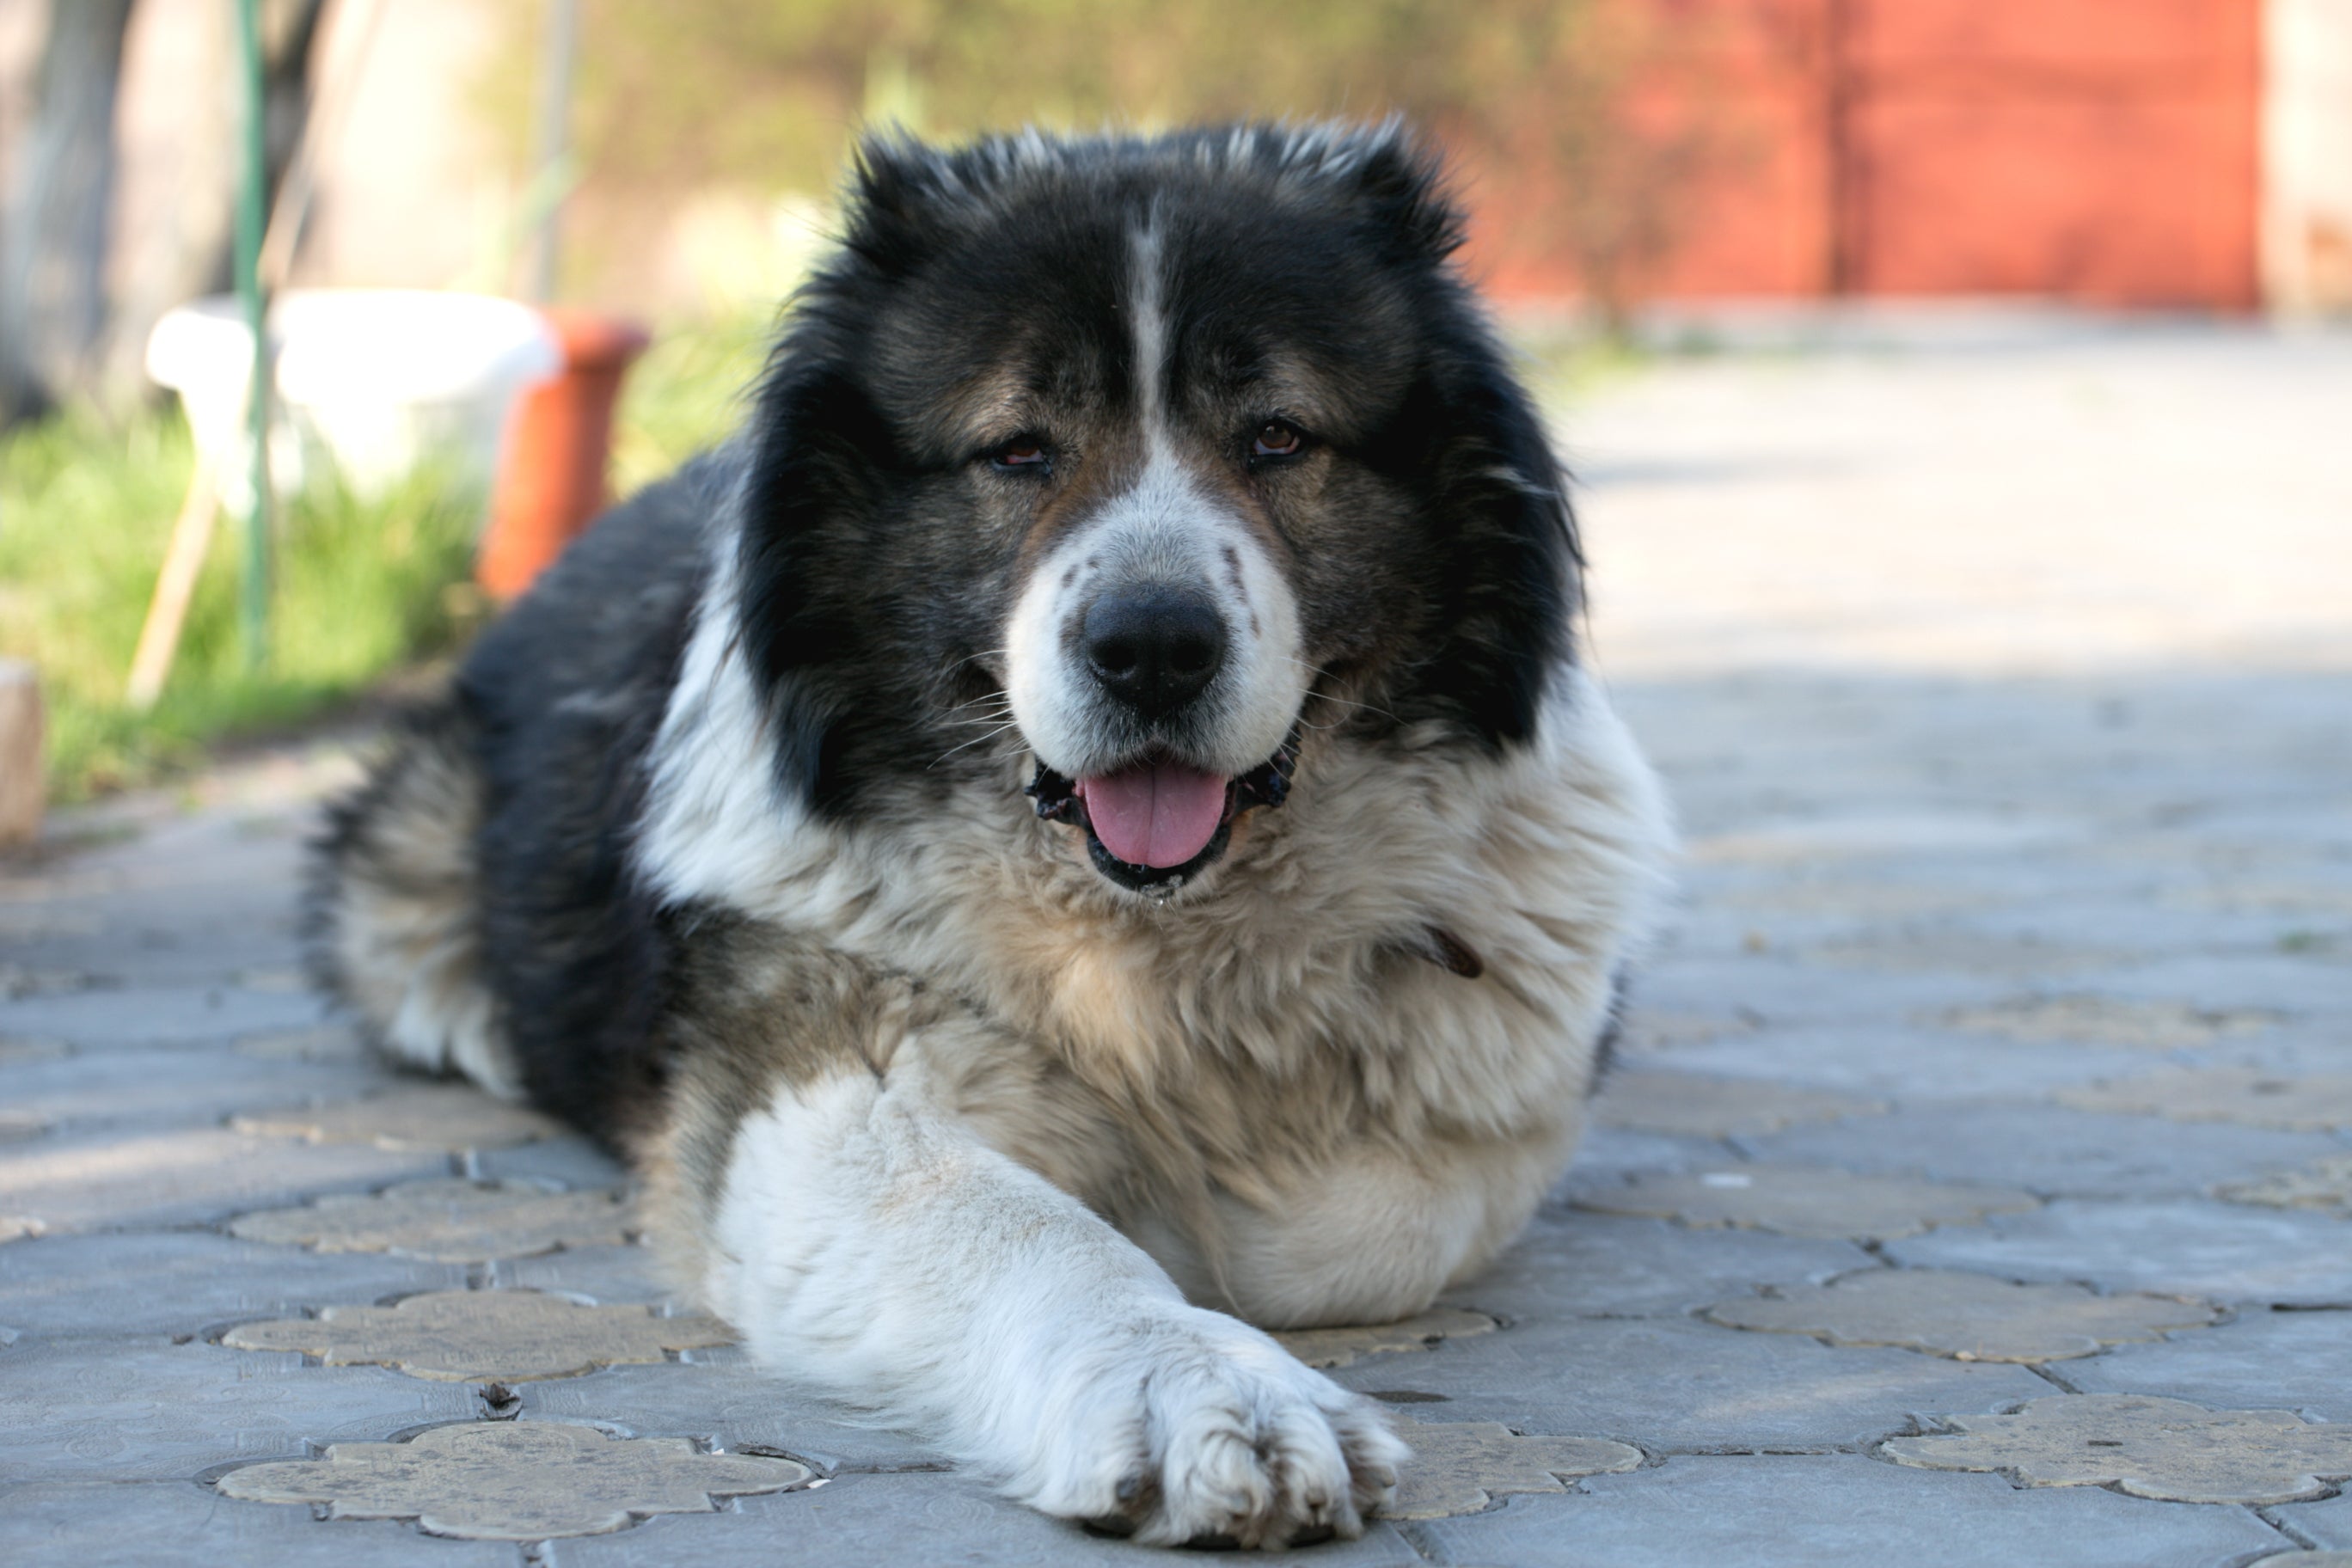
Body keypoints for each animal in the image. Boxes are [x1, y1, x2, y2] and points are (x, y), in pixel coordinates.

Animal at [312, 122, 1675, 1541]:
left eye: (1278, 437)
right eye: (1018, 449)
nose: (1152, 646)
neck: (1161, 942)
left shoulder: (1496, 1108)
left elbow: (1355, 1230)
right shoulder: (825, 1090)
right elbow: (1045, 1232)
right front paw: (1199, 1388)